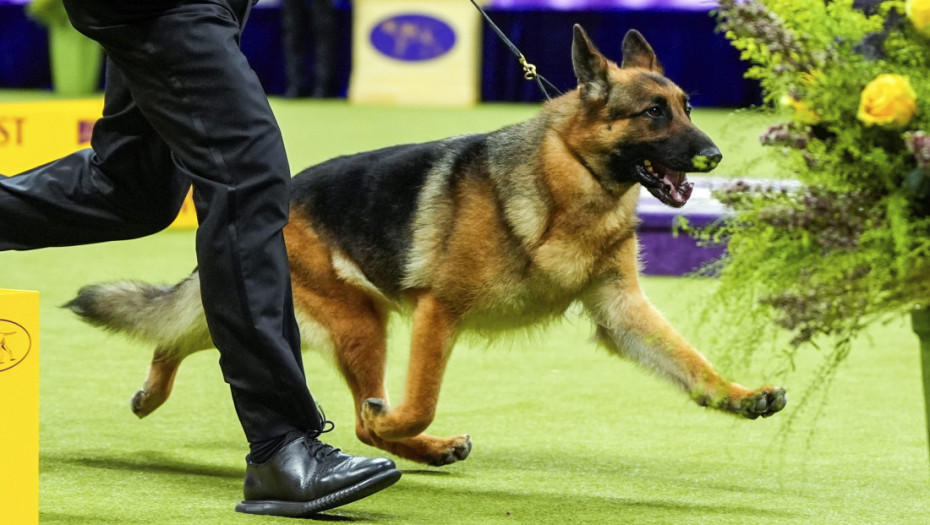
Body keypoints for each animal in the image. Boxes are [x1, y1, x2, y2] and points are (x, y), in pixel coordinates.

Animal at [69, 26, 784, 464]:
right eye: (653, 114)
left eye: (686, 106)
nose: (715, 156)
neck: (568, 182)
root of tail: (277, 197)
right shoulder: (439, 313)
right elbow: (416, 404)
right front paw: (399, 423)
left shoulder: (622, 313)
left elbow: (690, 361)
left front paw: (738, 396)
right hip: (361, 321)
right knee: (359, 416)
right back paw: (404, 439)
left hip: (328, 316)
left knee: (185, 332)